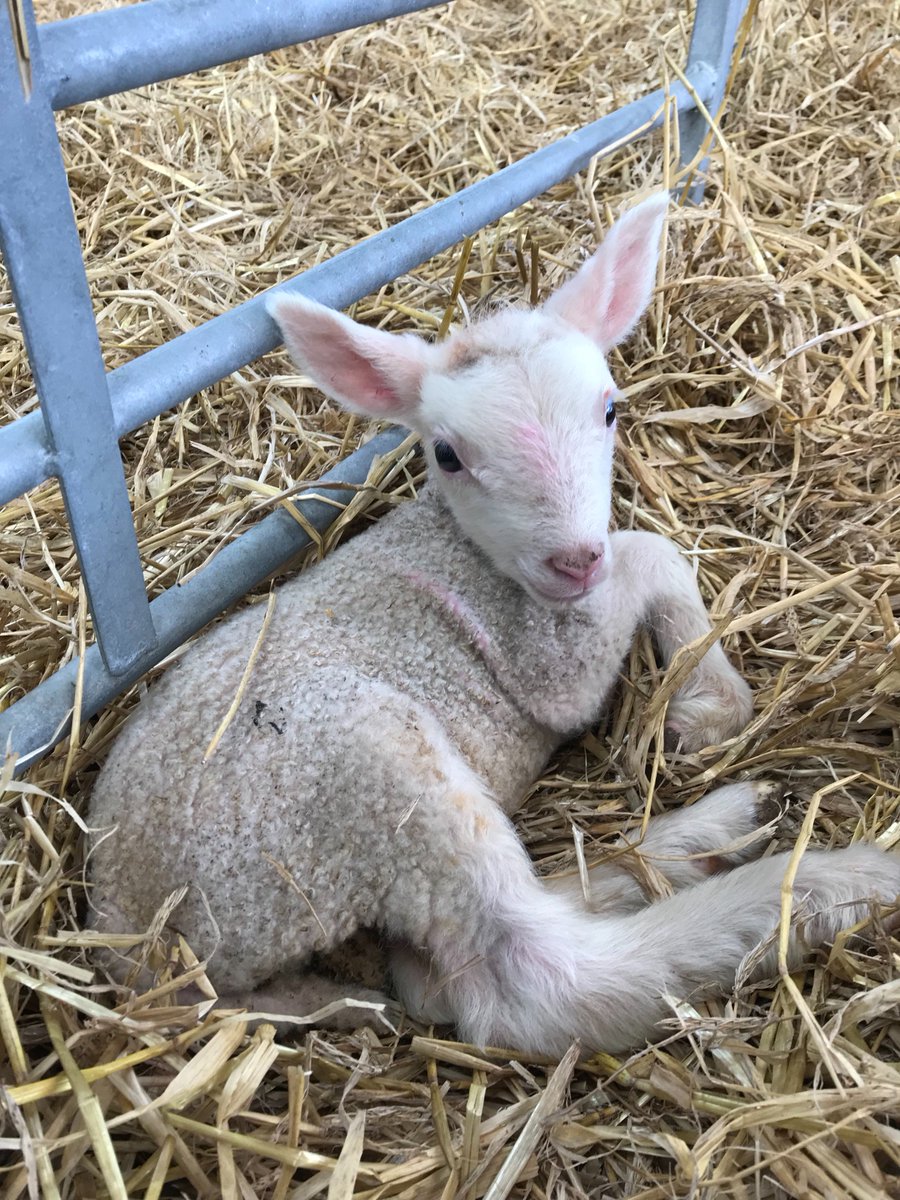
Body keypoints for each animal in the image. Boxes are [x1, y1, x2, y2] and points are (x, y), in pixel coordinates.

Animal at [87, 194, 900, 1056]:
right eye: (447, 454)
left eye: (609, 410)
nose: (574, 559)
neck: (469, 548)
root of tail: (134, 947)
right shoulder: (548, 657)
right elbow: (651, 552)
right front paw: (709, 709)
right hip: (363, 780)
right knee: (526, 981)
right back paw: (818, 887)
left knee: (426, 974)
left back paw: (692, 846)